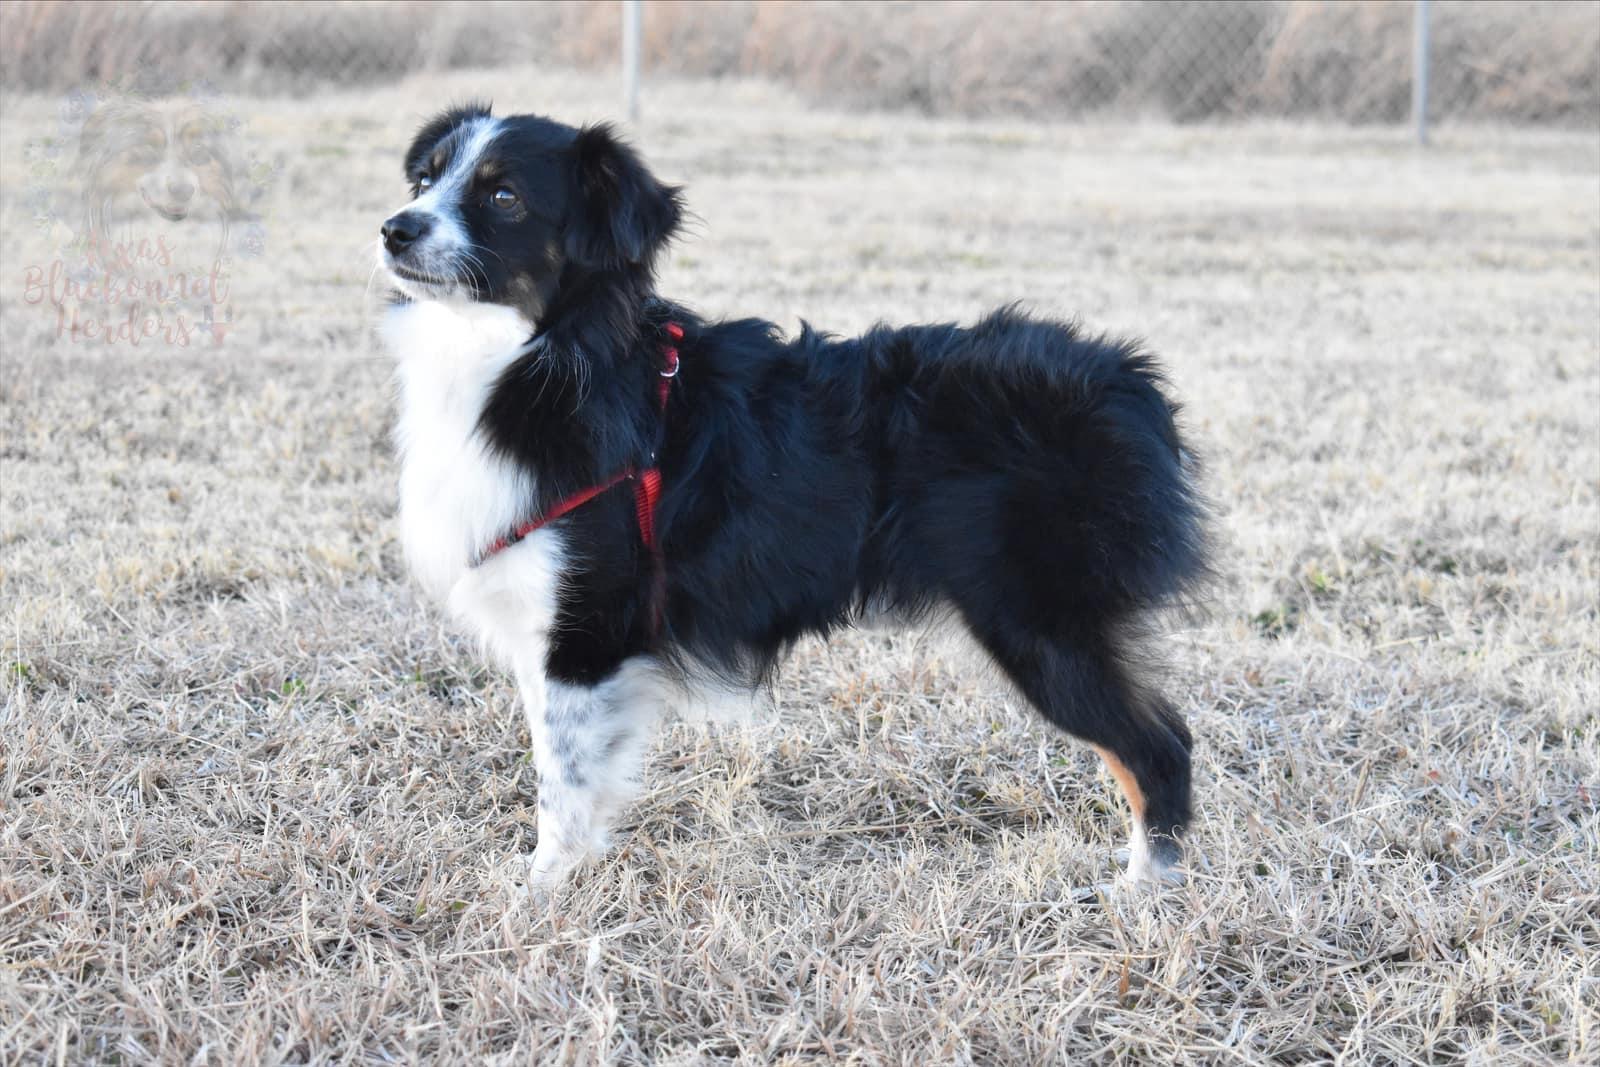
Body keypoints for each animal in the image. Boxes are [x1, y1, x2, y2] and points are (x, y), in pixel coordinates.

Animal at [377, 104, 1209, 891]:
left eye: (504, 196)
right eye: (425, 178)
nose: (393, 228)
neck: (542, 359)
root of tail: (1124, 381)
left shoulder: (586, 632)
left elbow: (563, 782)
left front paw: (539, 894)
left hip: (1037, 625)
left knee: (1158, 748)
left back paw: (1146, 890)